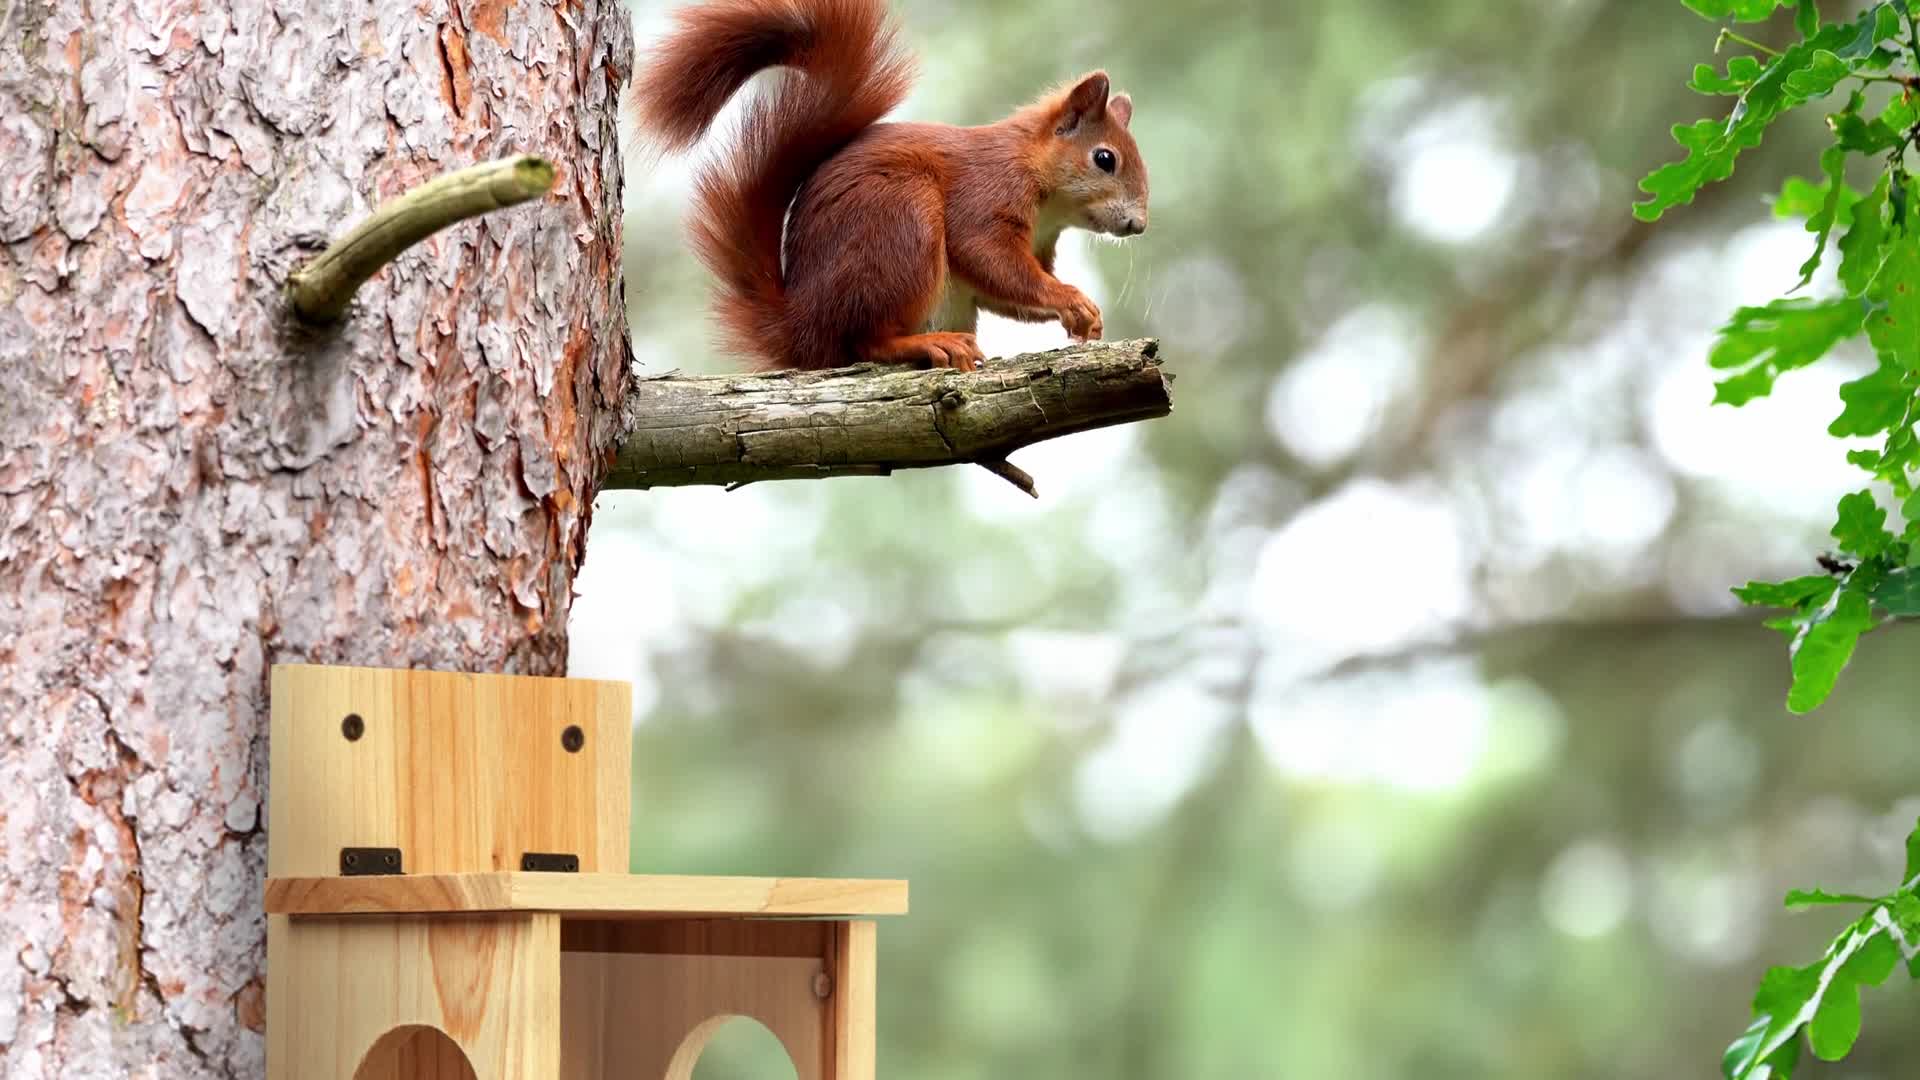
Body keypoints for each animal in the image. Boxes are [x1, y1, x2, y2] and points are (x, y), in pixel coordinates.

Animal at [631, 0, 1149, 373]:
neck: (1044, 193)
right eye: (1105, 159)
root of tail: (801, 328)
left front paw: (1084, 313)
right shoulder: (987, 193)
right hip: (901, 221)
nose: (1139, 225)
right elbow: (990, 258)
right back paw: (925, 343)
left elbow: (1002, 291)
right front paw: (1070, 298)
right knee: (865, 342)